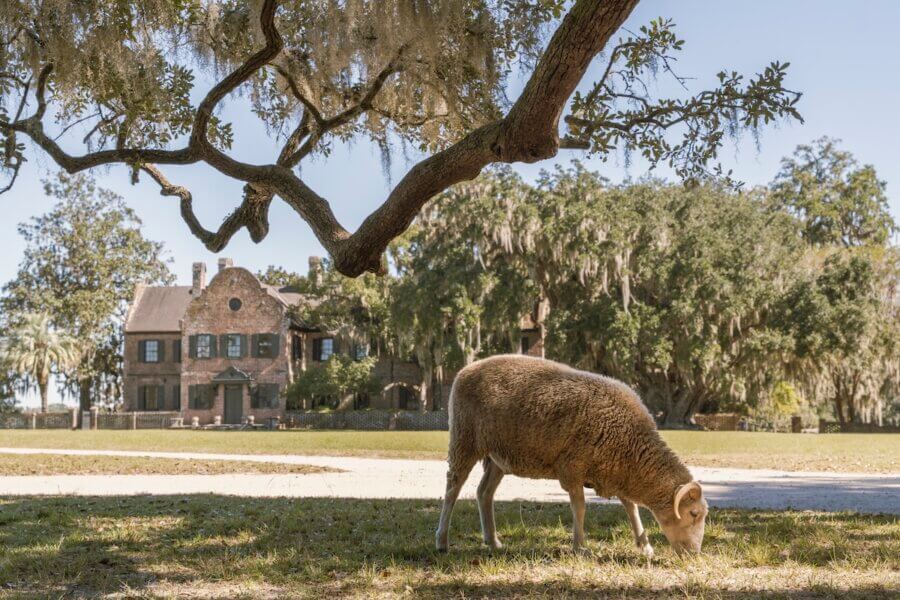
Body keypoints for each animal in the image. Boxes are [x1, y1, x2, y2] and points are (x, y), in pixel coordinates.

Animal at [435, 354, 708, 555]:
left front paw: (645, 546)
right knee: (452, 489)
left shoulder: (614, 470)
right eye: (693, 514)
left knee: (484, 493)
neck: (631, 445)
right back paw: (442, 541)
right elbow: (580, 507)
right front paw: (580, 547)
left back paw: (493, 541)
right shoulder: (573, 467)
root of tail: (466, 369)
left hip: (497, 457)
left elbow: (631, 508)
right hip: (464, 440)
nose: (694, 554)